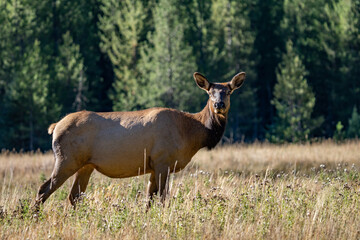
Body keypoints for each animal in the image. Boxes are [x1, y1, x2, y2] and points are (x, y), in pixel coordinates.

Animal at [34, 71, 245, 208]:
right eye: (210, 92)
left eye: (228, 91)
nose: (219, 104)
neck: (191, 134)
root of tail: (54, 127)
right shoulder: (162, 160)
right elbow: (162, 199)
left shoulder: (153, 166)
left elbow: (149, 200)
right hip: (67, 159)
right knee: (44, 189)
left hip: (85, 165)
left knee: (74, 196)